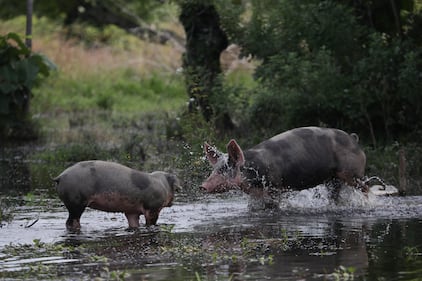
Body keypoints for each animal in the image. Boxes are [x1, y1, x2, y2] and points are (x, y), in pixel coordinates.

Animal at [53, 160, 181, 230]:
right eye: (174, 188)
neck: (162, 185)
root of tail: (60, 177)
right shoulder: (153, 208)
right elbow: (151, 223)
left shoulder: (131, 211)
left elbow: (134, 223)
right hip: (76, 203)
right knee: (71, 221)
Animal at [201, 126, 366, 196]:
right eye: (215, 169)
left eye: (225, 169)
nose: (202, 186)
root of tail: (354, 140)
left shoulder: (274, 186)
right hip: (333, 179)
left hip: (353, 173)